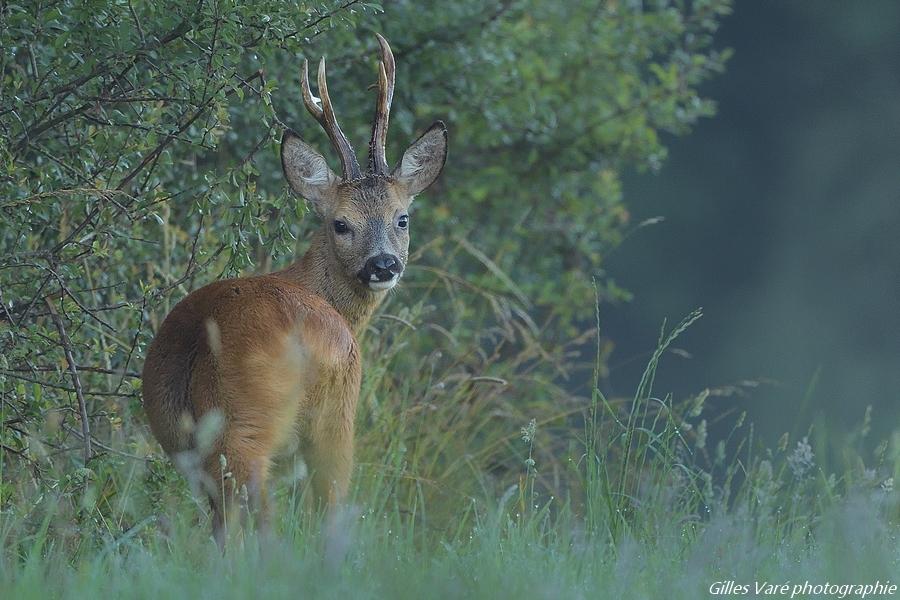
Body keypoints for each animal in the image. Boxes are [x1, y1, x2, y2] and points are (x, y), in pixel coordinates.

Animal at [141, 34, 446, 548]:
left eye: (401, 218)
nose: (383, 264)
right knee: (291, 516)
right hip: (285, 423)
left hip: (206, 439)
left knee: (235, 522)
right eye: (341, 224)